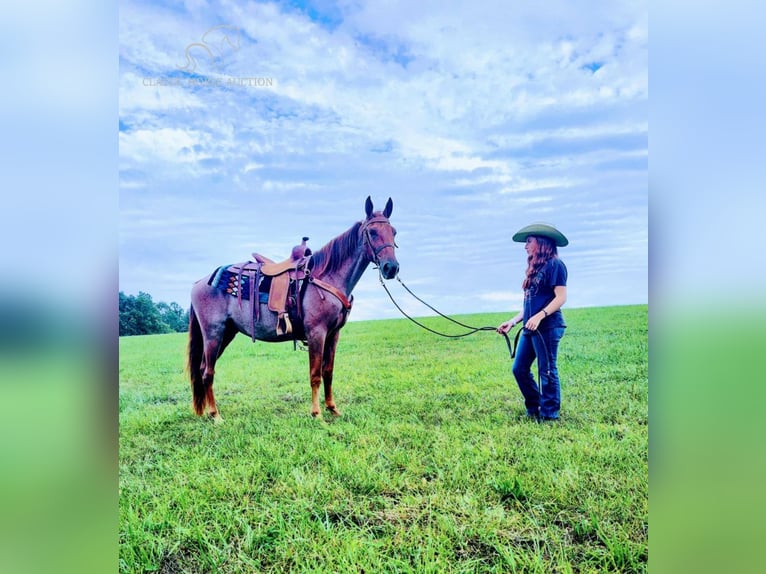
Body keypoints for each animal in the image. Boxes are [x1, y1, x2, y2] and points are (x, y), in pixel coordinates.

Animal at [188, 198, 400, 424]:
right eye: (372, 232)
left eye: (393, 232)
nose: (391, 267)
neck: (326, 276)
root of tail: (200, 282)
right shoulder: (317, 333)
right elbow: (315, 374)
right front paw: (317, 414)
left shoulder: (333, 335)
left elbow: (328, 372)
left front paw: (333, 409)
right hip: (214, 334)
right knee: (208, 372)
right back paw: (216, 416)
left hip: (227, 333)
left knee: (203, 369)